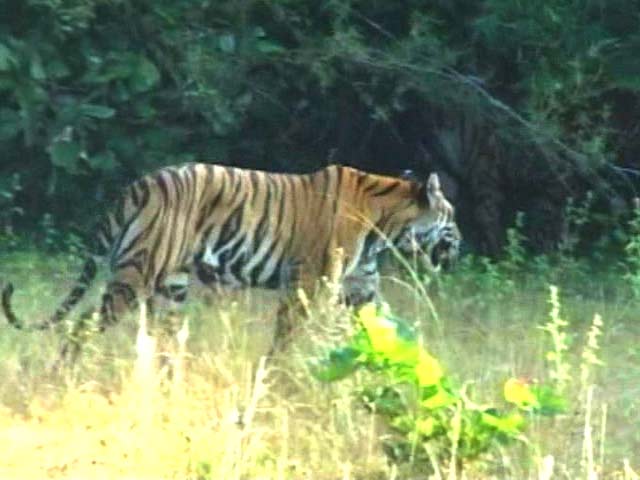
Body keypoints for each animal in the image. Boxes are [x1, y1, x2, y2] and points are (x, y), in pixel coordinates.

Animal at [2, 163, 460, 357]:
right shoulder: (308, 284)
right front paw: (280, 376)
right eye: (452, 217)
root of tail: (139, 186)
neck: (387, 227)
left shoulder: (360, 286)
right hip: (137, 273)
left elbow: (386, 325)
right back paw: (64, 372)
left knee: (164, 337)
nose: (461, 244)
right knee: (82, 323)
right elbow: (287, 337)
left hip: (172, 286)